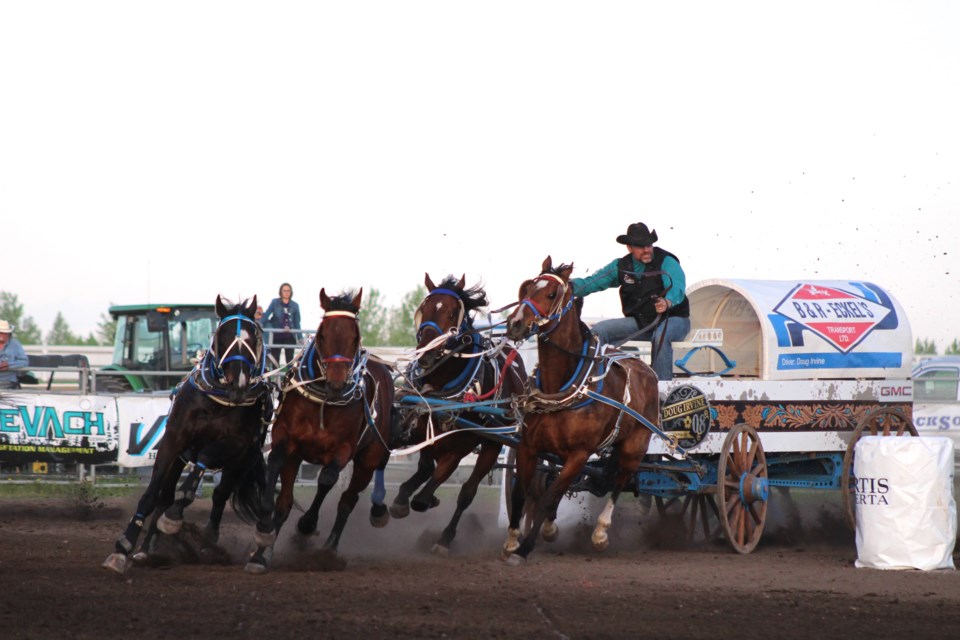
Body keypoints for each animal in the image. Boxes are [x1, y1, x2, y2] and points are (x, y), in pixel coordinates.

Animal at [102, 296, 274, 576]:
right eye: (222, 336)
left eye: (254, 337)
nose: (238, 383)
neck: (217, 401)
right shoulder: (173, 442)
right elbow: (153, 494)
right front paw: (123, 547)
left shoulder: (235, 445)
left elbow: (204, 460)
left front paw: (175, 516)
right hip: (182, 459)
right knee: (165, 496)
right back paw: (146, 549)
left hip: (242, 462)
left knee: (220, 494)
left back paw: (207, 537)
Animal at [248, 288, 398, 572]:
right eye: (321, 334)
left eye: (355, 336)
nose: (337, 384)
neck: (323, 401)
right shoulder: (287, 440)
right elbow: (277, 476)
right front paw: (261, 543)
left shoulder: (343, 449)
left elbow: (327, 479)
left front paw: (306, 525)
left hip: (368, 460)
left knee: (347, 501)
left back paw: (329, 548)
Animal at [388, 276, 524, 556]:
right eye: (423, 308)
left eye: (452, 313)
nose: (426, 354)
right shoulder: (423, 431)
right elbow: (424, 469)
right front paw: (403, 498)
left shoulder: (458, 447)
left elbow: (429, 491)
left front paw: (426, 500)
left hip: (494, 444)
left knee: (468, 492)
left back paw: (445, 538)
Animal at [502, 258, 660, 564]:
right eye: (527, 288)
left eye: (551, 294)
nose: (515, 324)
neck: (564, 384)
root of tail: (645, 368)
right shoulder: (528, 446)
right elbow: (522, 493)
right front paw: (514, 540)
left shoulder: (579, 454)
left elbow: (549, 496)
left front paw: (526, 547)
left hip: (635, 446)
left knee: (620, 481)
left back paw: (600, 533)